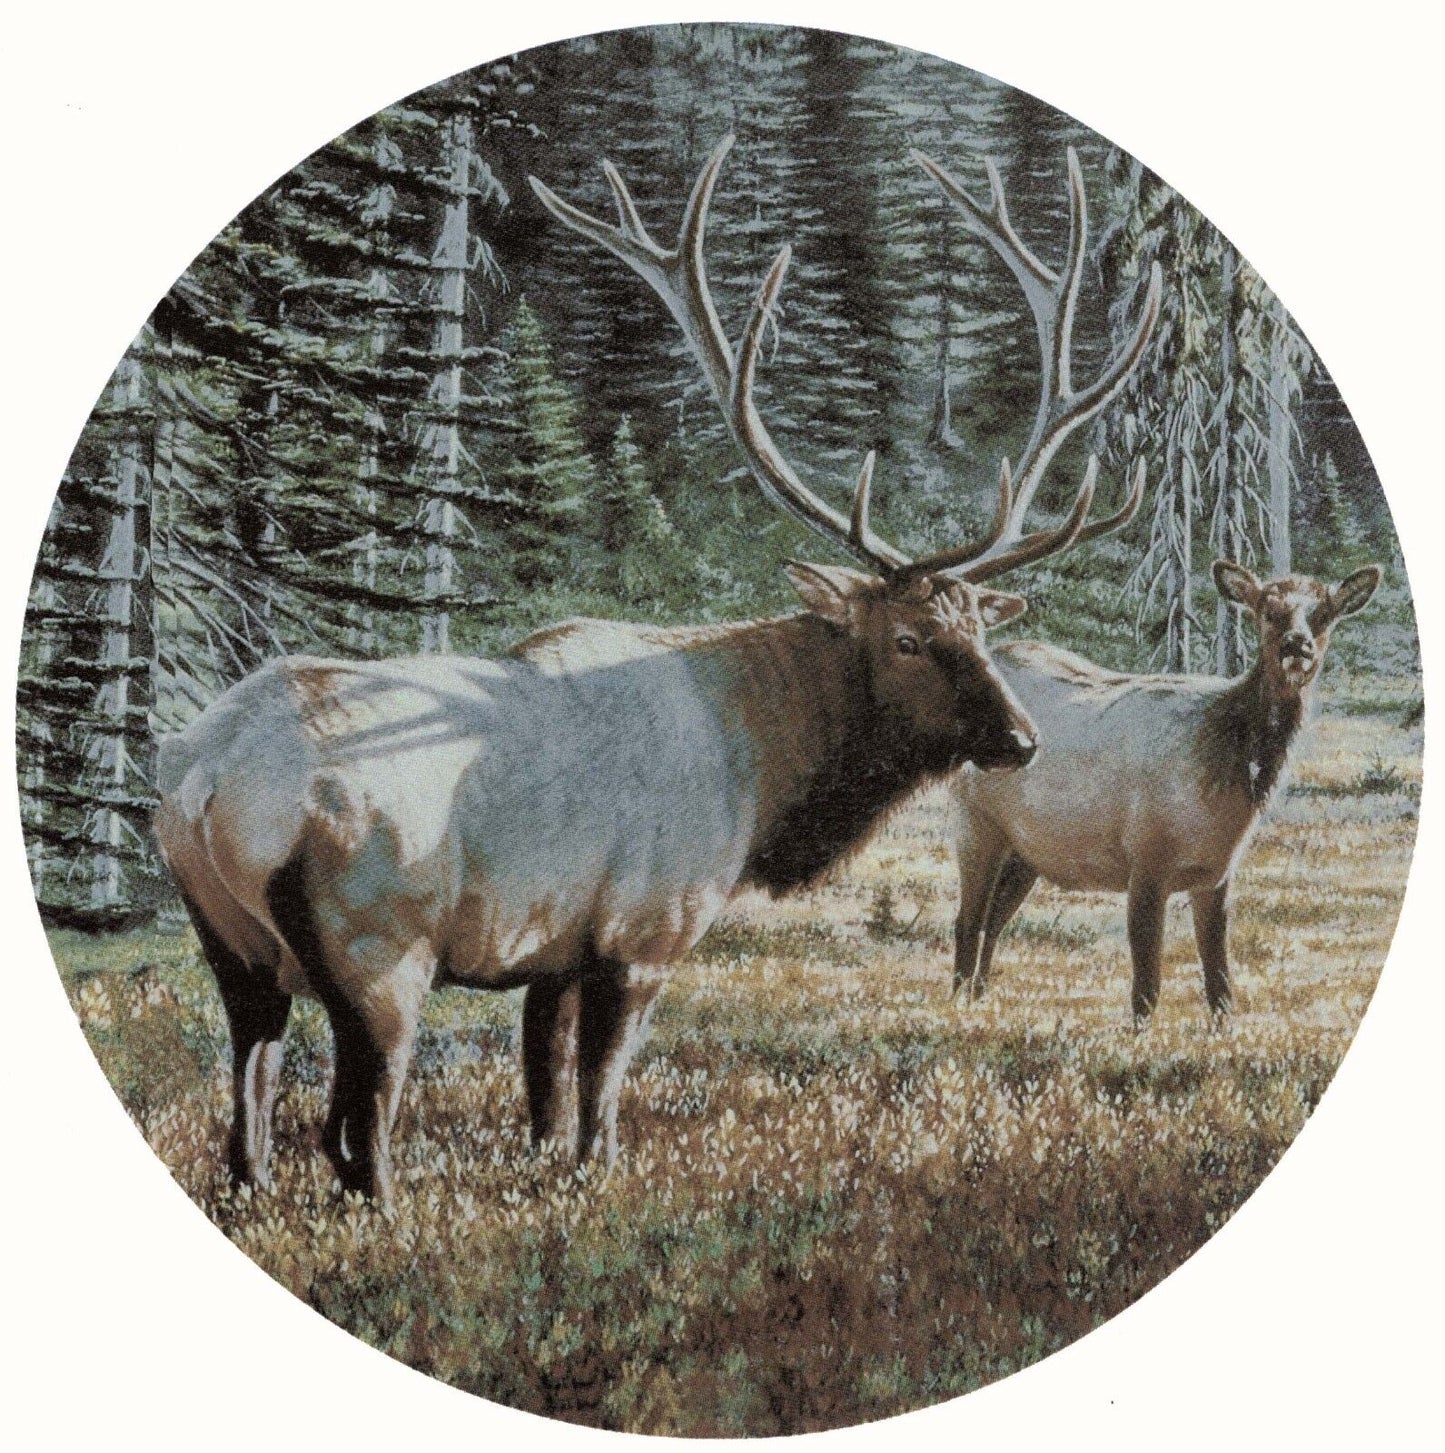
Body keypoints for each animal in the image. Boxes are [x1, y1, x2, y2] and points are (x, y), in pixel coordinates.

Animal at [153, 135, 1160, 1208]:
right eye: (906, 638)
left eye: (977, 629)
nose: (1019, 738)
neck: (759, 768)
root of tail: (208, 779)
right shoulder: (644, 927)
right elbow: (601, 1091)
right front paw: (598, 1179)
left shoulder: (553, 947)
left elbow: (543, 1087)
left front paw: (544, 1172)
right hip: (378, 943)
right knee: (355, 1128)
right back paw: (383, 1210)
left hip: (233, 948)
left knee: (250, 1101)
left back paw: (254, 1188)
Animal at [952, 558, 1382, 1020]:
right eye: (1268, 610)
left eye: (1325, 614)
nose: (1297, 645)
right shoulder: (1145, 856)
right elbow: (1146, 988)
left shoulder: (1216, 873)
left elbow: (1219, 985)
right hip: (975, 823)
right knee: (967, 922)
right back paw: (956, 1006)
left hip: (1029, 848)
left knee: (995, 918)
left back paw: (978, 1000)